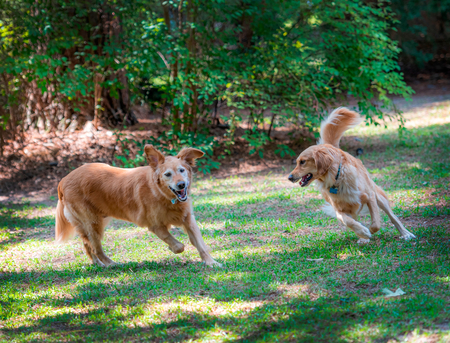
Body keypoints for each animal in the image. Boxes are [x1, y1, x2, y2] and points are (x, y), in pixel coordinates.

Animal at [55, 146, 221, 268]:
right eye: (167, 174)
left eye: (182, 170)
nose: (181, 185)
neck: (162, 194)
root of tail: (63, 180)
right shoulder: (155, 225)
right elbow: (178, 245)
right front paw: (174, 247)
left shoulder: (188, 219)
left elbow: (201, 244)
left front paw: (211, 262)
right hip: (93, 223)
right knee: (96, 248)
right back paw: (111, 264)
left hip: (94, 222)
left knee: (87, 244)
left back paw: (98, 264)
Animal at [290, 108, 416, 245]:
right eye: (297, 162)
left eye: (302, 162)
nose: (289, 177)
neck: (337, 178)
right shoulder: (340, 211)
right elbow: (349, 222)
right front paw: (363, 233)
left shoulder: (370, 196)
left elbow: (376, 224)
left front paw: (368, 232)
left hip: (378, 196)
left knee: (393, 217)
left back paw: (405, 233)